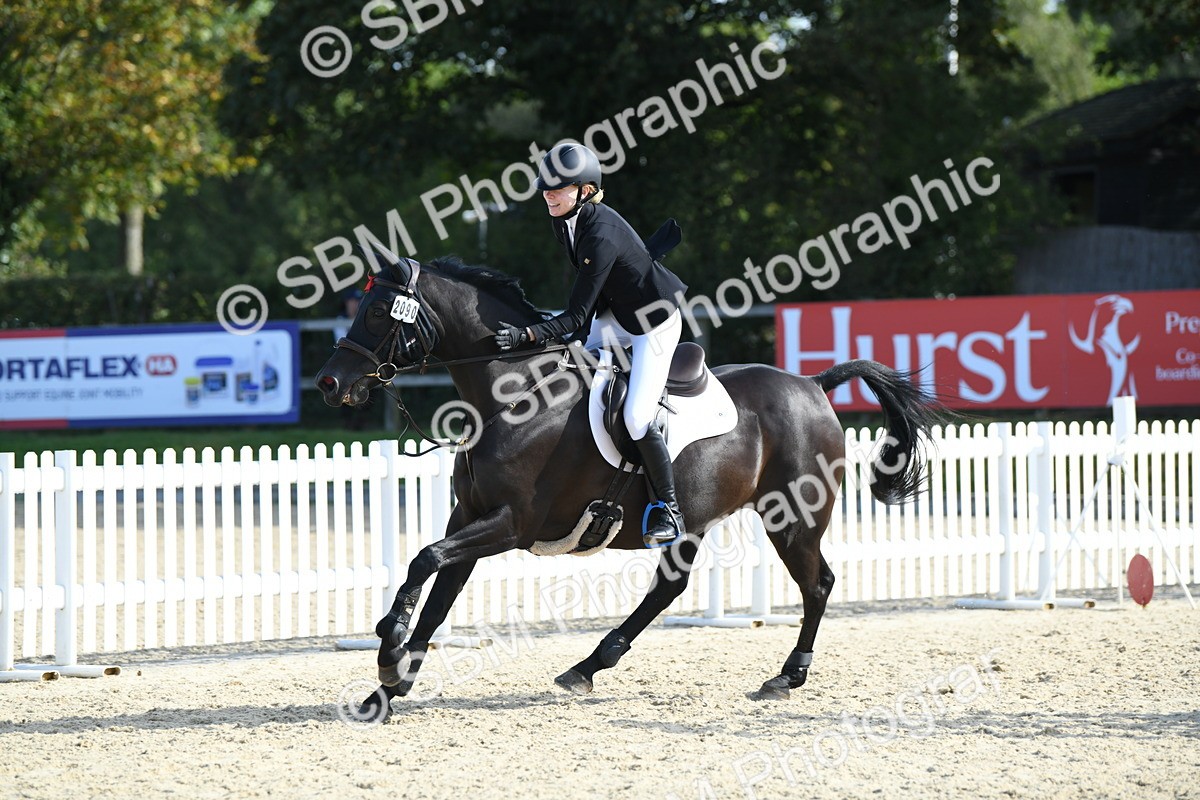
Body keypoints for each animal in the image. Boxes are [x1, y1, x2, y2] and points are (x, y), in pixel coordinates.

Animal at [315, 255, 942, 721]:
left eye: (378, 313)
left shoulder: (510, 525)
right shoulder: (467, 517)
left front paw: (389, 642)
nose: (329, 383)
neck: (516, 397)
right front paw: (388, 687)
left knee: (818, 585)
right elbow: (438, 591)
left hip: (791, 516)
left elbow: (424, 560)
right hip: (699, 519)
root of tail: (812, 384)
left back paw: (787, 676)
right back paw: (588, 666)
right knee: (671, 586)